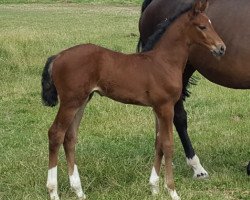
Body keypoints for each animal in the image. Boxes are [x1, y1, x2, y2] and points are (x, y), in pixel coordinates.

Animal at [42, 0, 226, 199]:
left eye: (211, 24)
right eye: (202, 26)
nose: (221, 48)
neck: (163, 62)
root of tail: (58, 56)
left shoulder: (157, 108)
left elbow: (158, 143)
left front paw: (154, 188)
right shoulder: (166, 107)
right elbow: (168, 145)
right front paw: (172, 190)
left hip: (82, 100)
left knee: (70, 137)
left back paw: (79, 191)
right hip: (70, 101)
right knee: (56, 134)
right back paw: (53, 192)